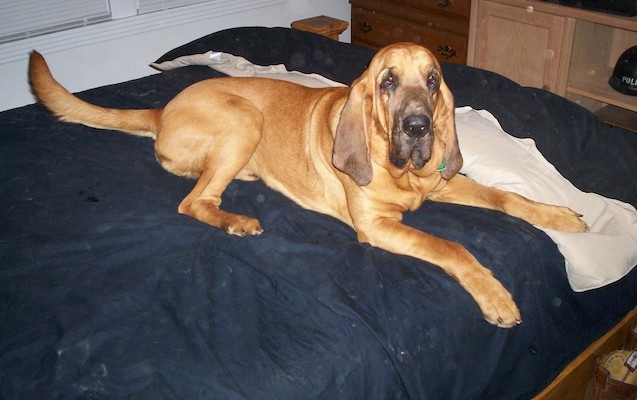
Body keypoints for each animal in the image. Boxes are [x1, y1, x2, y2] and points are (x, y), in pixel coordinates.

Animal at [28, 43, 588, 326]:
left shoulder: (442, 185)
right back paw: (237, 221)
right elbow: (452, 248)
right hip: (244, 121)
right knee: (193, 202)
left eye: (433, 81)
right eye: (387, 81)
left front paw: (558, 215)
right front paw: (495, 296)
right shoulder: (377, 226)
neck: (401, 170)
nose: (418, 127)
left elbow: (506, 196)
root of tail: (161, 110)